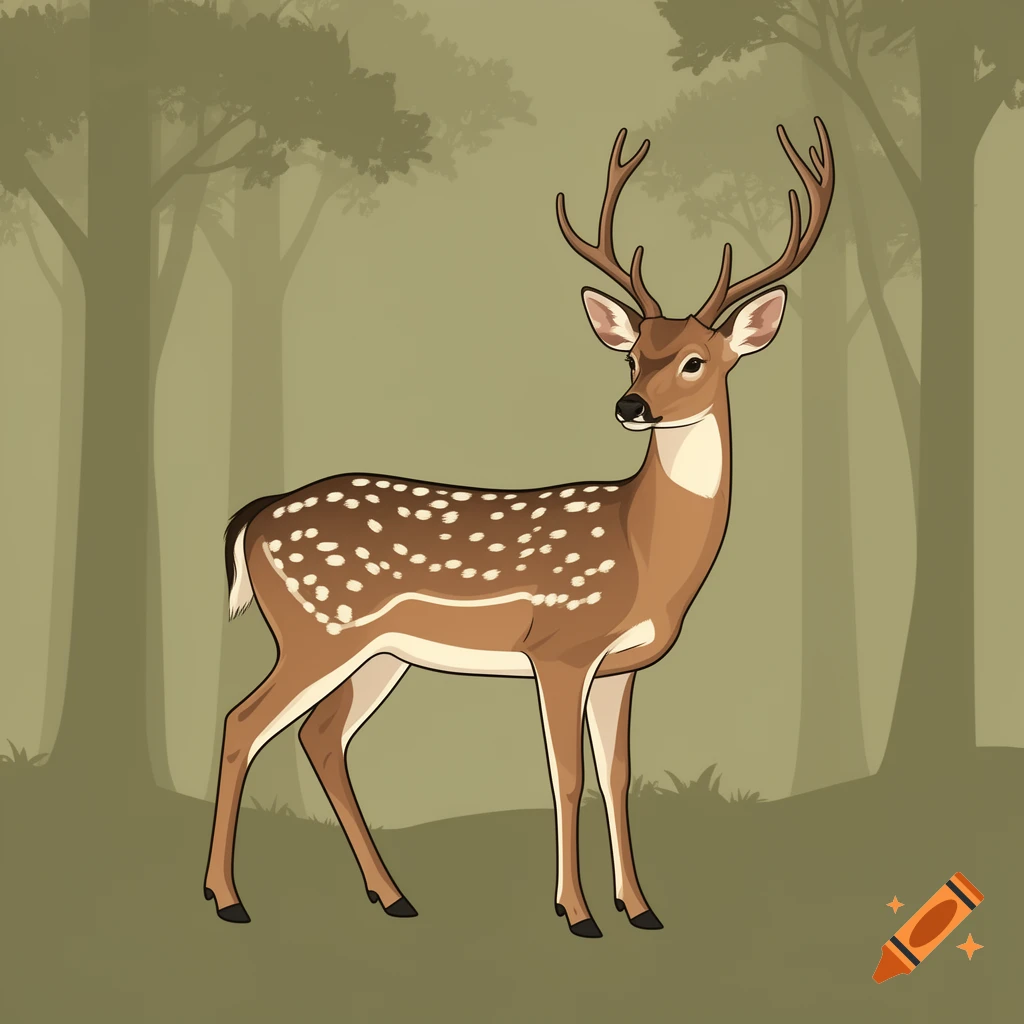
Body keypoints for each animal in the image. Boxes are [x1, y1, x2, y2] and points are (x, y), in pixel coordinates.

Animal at [204, 117, 834, 938]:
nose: (631, 406)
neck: (643, 554)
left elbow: (617, 776)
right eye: (633, 356)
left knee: (320, 736)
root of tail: (254, 517)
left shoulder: (621, 668)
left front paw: (641, 909)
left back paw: (394, 895)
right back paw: (228, 898)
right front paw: (578, 913)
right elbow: (566, 777)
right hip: (318, 628)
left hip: (379, 652)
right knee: (242, 722)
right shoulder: (560, 646)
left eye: (696, 360)